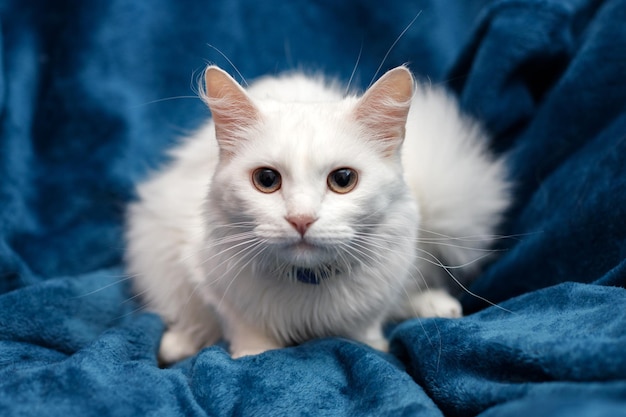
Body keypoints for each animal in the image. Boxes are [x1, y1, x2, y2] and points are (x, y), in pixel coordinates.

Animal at [125, 65, 508, 360]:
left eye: (343, 180)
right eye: (267, 180)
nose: (301, 219)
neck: (308, 281)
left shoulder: (377, 292)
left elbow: (365, 331)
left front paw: (375, 347)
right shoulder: (205, 274)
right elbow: (242, 326)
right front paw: (253, 354)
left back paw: (438, 306)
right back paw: (178, 344)